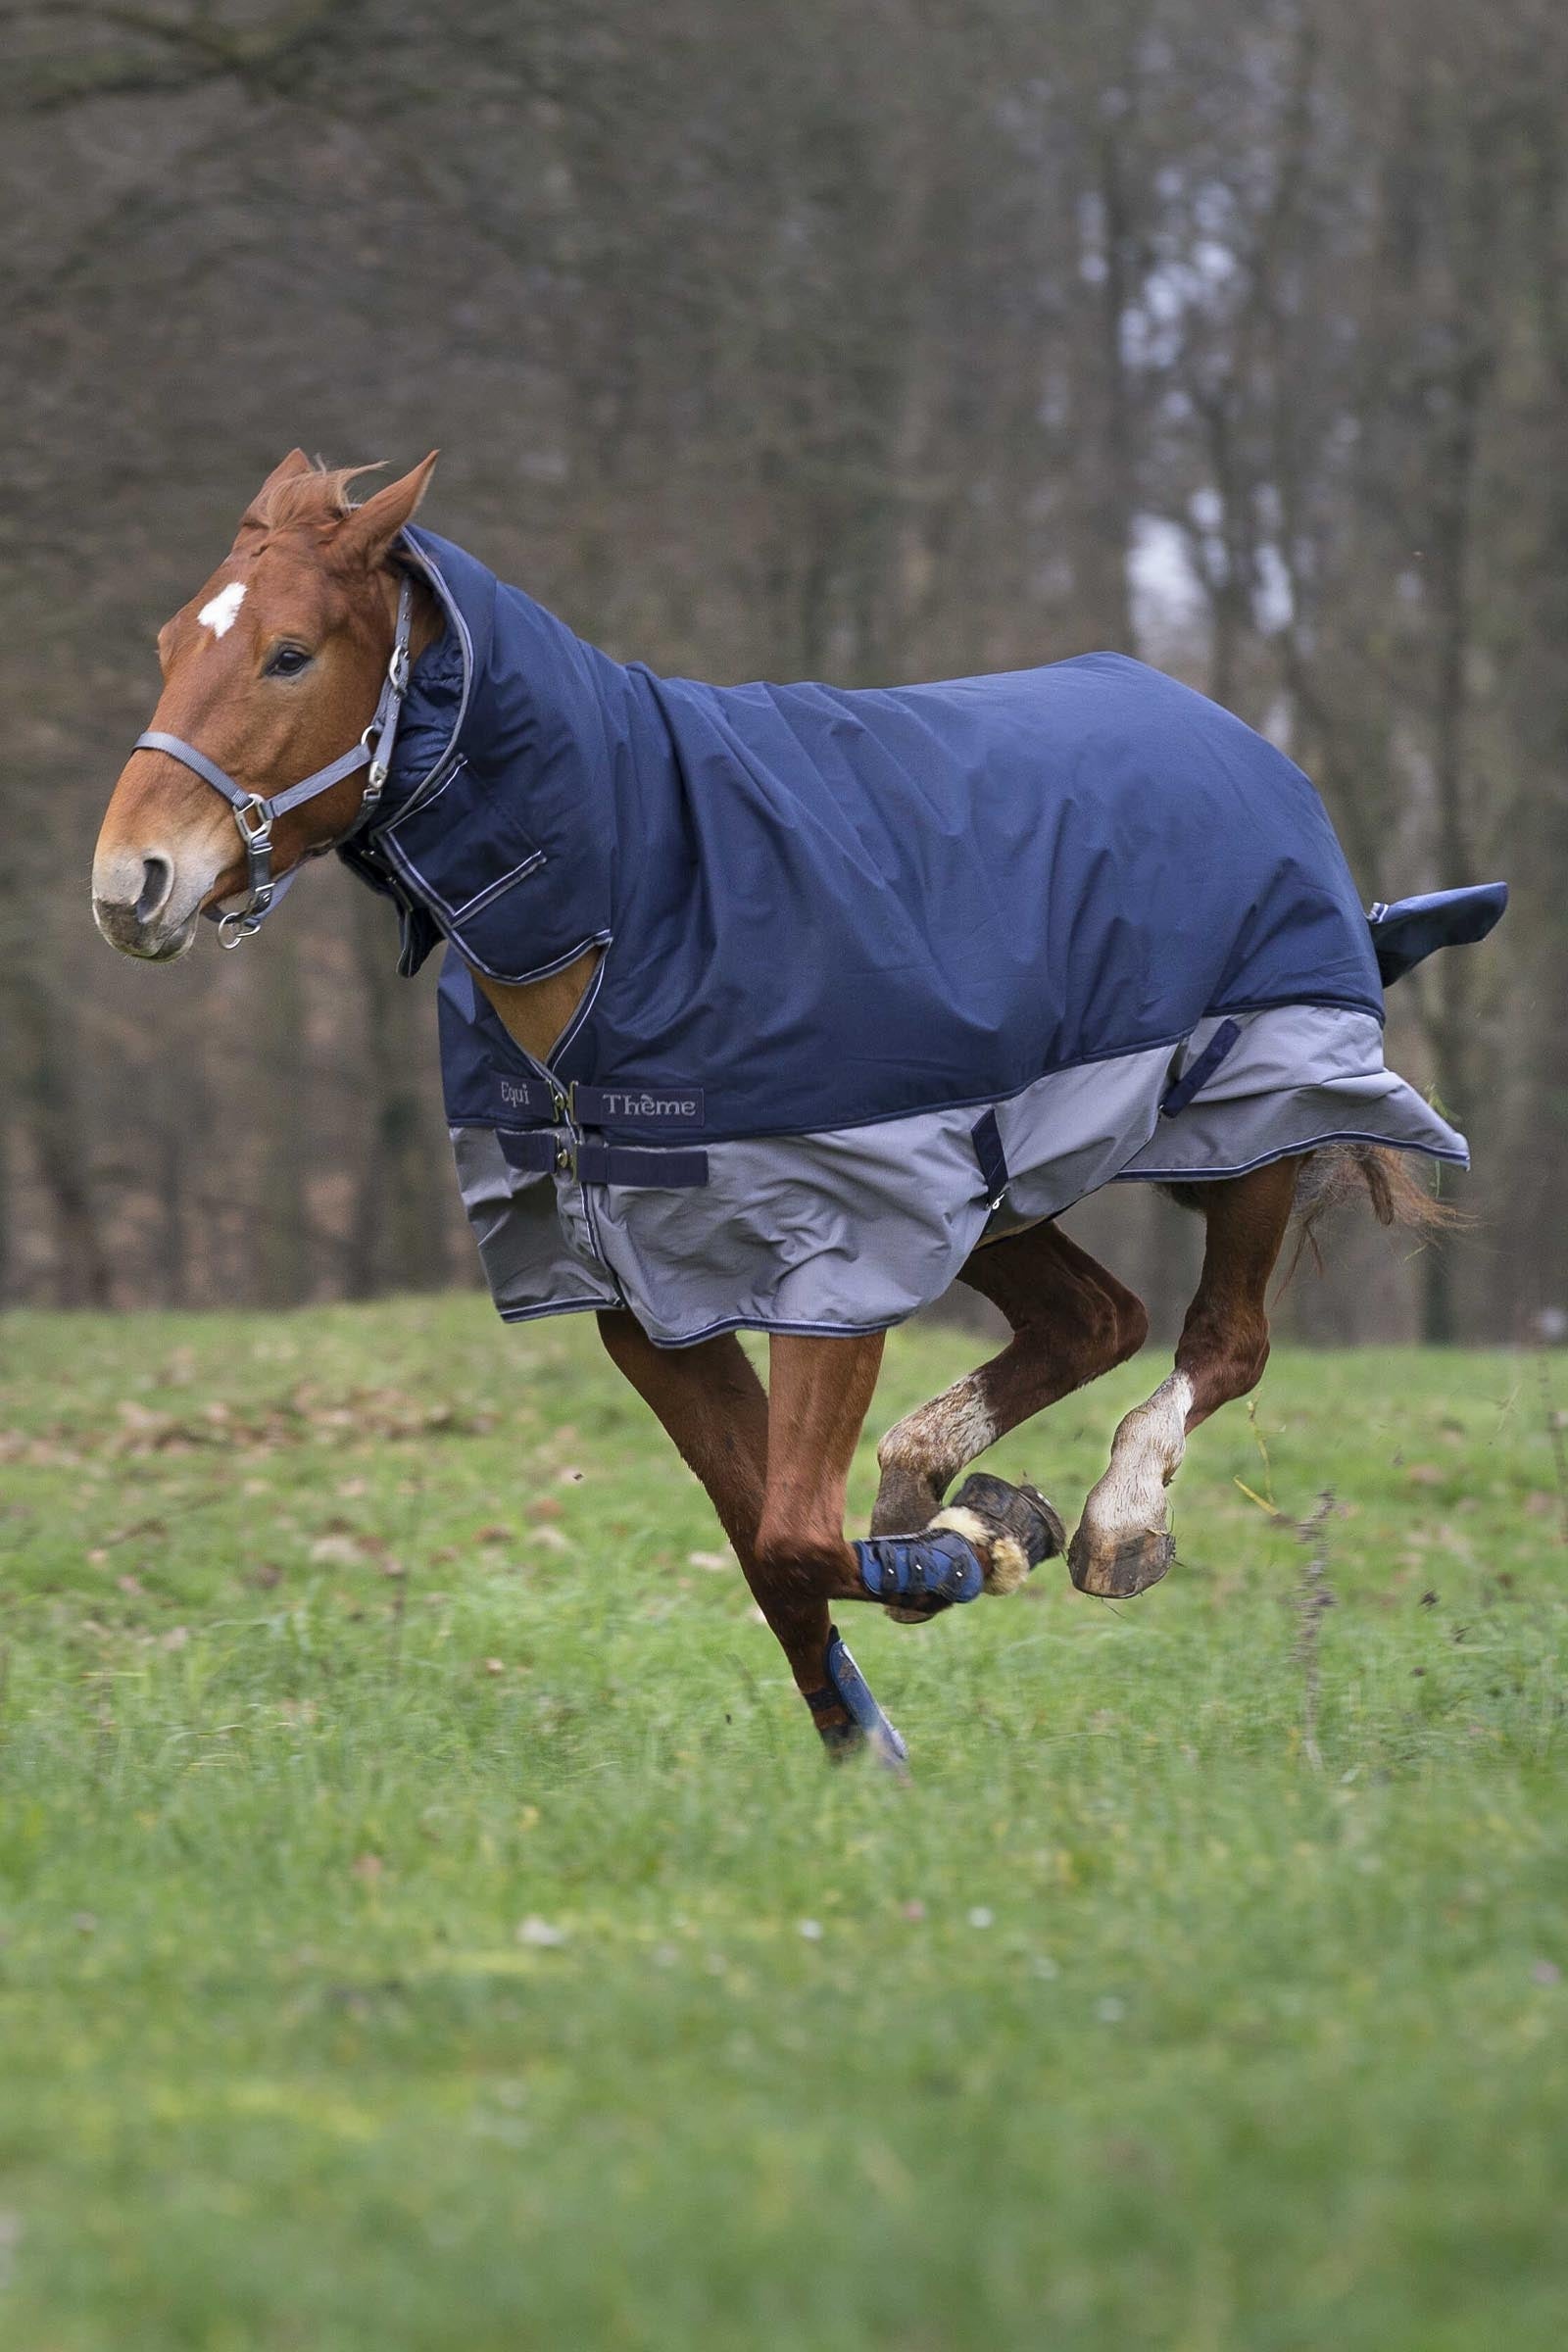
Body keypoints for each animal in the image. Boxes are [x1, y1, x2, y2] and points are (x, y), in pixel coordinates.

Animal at [92, 451, 1503, 1766]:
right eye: (167, 643)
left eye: (287, 655)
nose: (131, 884)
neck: (635, 910)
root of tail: (1235, 734)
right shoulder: (647, 1300)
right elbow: (768, 1539)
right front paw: (881, 1719)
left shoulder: (836, 1259)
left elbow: (787, 1529)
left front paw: (985, 1547)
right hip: (988, 1181)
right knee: (1096, 1318)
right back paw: (928, 1476)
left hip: (1253, 1112)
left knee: (1224, 1342)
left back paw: (1112, 1523)